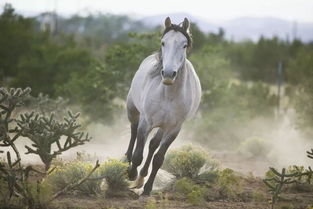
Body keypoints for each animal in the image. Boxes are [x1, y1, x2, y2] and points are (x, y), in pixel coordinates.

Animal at [124, 16, 200, 196]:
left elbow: (158, 158)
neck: (168, 94)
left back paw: (142, 177)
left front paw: (146, 188)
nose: (168, 74)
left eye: (184, 45)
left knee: (153, 145)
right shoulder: (146, 122)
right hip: (133, 110)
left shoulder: (173, 129)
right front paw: (131, 174)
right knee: (133, 132)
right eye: (163, 42)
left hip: (162, 126)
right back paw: (128, 162)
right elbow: (138, 154)